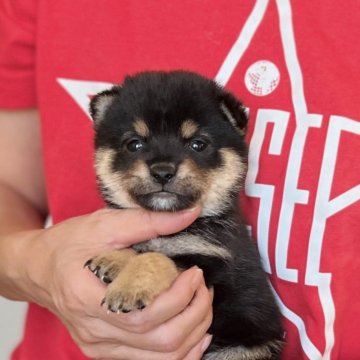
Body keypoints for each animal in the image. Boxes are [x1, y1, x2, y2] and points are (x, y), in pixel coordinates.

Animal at [86, 71, 282, 360]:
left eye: (198, 144)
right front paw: (114, 259)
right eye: (134, 144)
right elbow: (143, 250)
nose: (162, 171)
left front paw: (128, 287)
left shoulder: (208, 262)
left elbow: (156, 258)